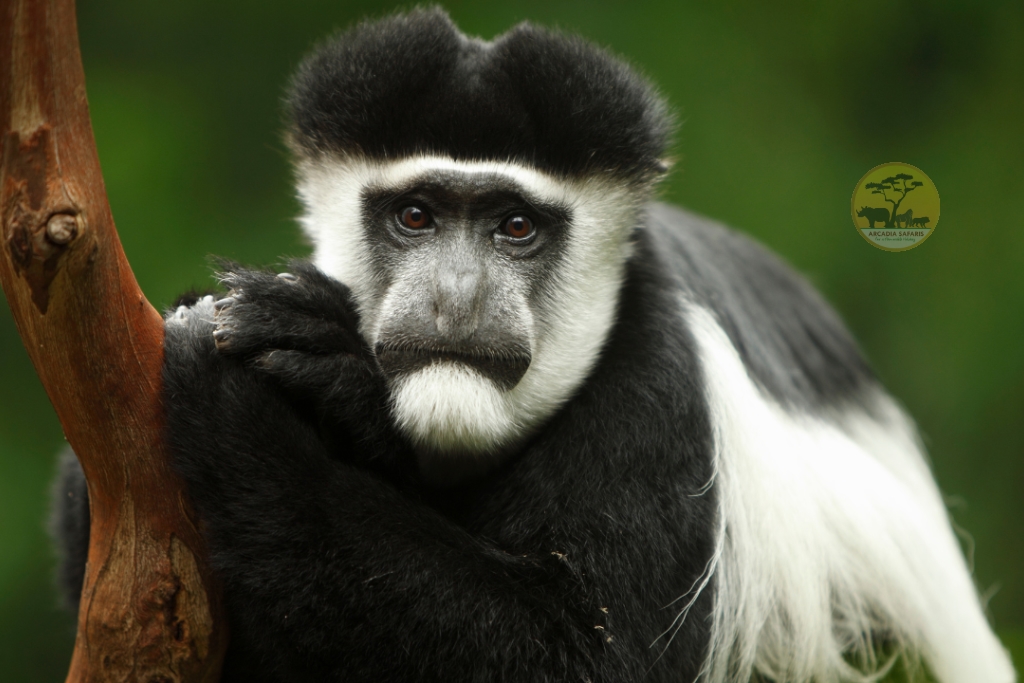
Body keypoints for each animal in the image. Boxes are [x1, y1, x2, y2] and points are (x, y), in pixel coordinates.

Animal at [56, 9, 1015, 683]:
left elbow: (586, 654)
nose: (456, 296)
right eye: (416, 215)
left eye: (516, 227)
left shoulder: (660, 404)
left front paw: (249, 404)